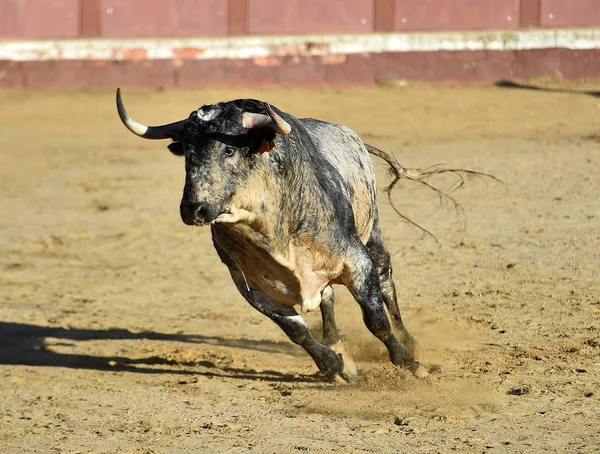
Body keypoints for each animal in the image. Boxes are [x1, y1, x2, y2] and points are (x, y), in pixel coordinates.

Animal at [116, 89, 426, 384]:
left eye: (229, 149)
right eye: (187, 153)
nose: (194, 209)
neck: (273, 230)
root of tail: (352, 137)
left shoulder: (356, 260)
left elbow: (376, 319)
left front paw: (410, 363)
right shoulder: (252, 286)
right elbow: (296, 331)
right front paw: (334, 365)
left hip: (373, 234)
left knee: (385, 280)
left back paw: (411, 343)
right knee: (327, 298)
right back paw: (338, 348)